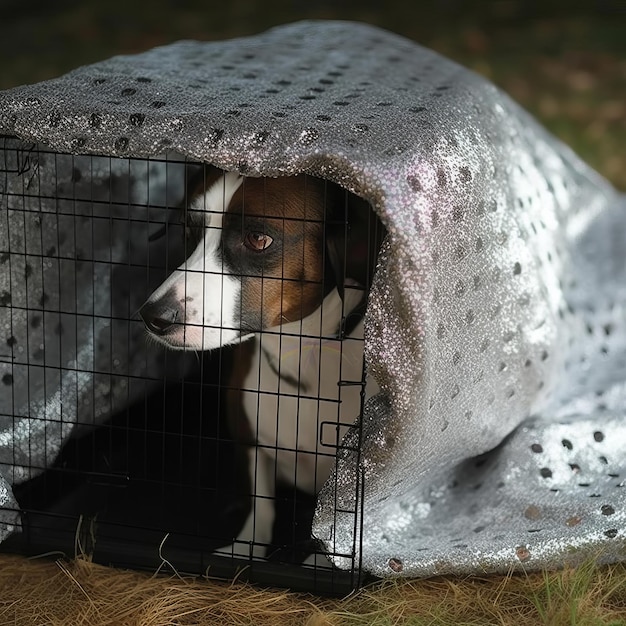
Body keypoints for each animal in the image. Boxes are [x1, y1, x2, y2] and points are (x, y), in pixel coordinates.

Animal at [138, 165, 380, 556]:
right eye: (189, 230)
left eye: (258, 239)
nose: (153, 317)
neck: (302, 354)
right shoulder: (250, 438)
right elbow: (262, 504)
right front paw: (245, 550)